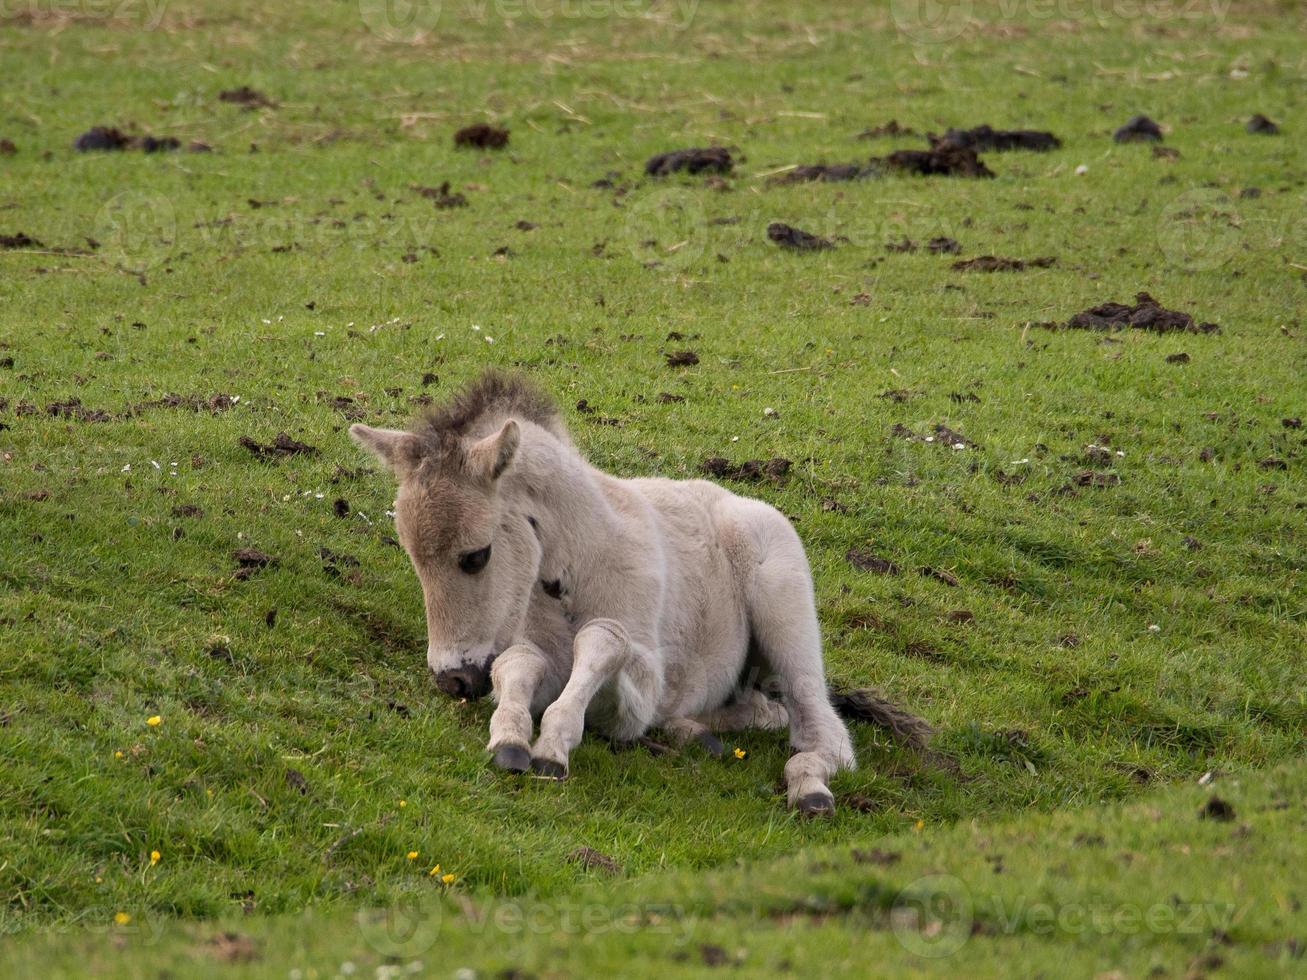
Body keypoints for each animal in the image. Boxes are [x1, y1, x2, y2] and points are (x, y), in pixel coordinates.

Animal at [352, 371, 914, 815]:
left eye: (476, 556)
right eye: (413, 558)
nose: (452, 680)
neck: (576, 568)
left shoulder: (635, 691)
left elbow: (604, 641)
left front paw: (551, 748)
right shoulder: (533, 651)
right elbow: (517, 665)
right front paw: (509, 739)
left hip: (783, 608)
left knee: (821, 730)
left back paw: (809, 786)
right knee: (760, 710)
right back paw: (696, 733)